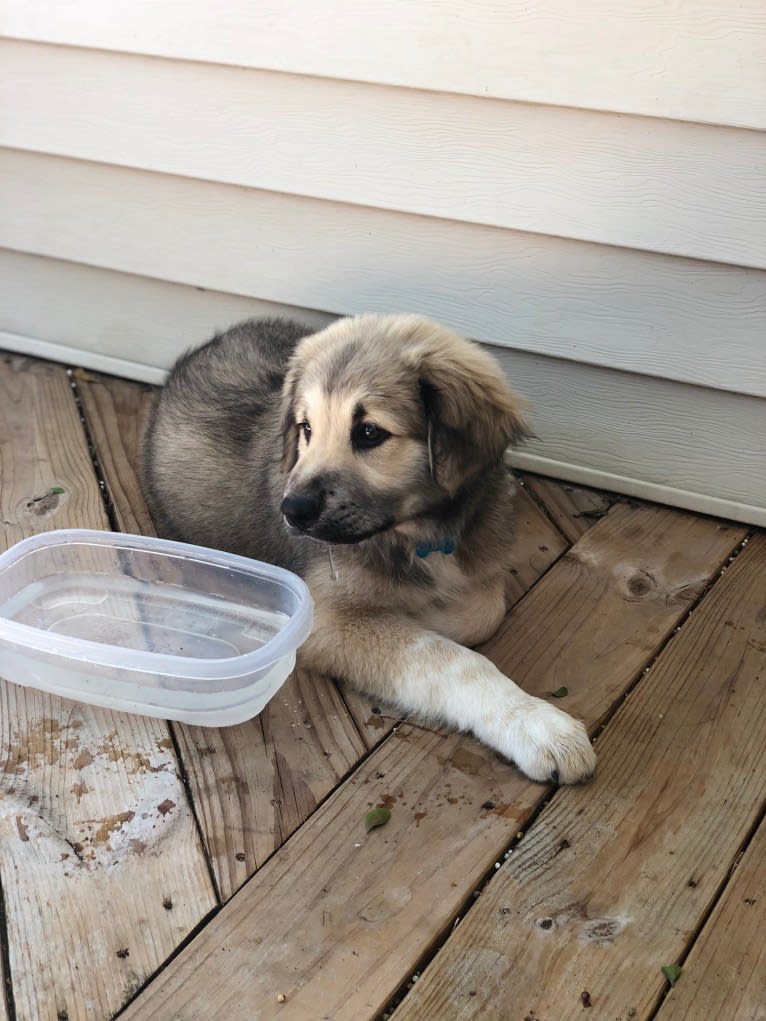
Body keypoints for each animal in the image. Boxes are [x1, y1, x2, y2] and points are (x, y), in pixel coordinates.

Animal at [140, 314, 596, 784]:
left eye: (369, 432)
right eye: (306, 428)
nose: (292, 510)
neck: (419, 535)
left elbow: (485, 610)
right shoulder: (325, 619)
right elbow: (446, 655)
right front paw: (535, 722)